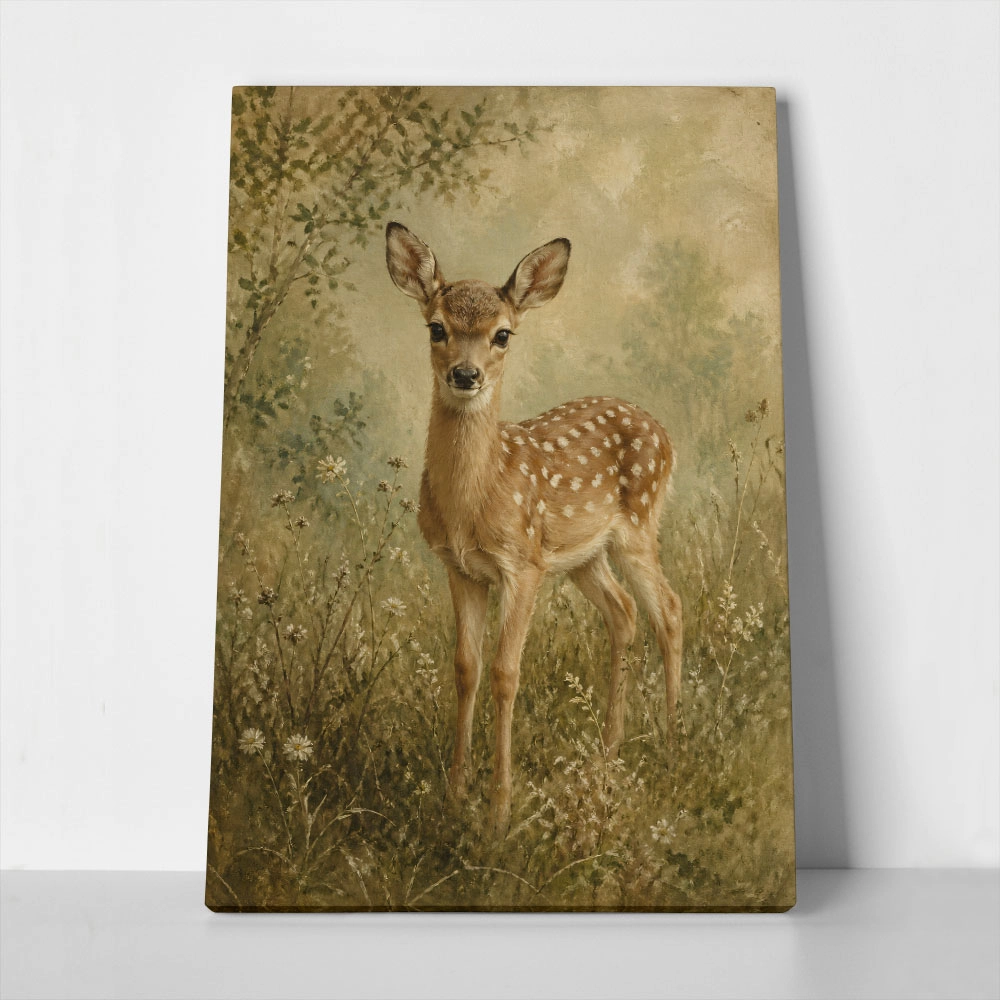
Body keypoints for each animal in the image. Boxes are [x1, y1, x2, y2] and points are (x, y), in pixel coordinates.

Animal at [385, 222, 683, 834]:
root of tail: (664, 433)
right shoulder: (461, 568)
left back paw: (670, 745)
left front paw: (499, 810)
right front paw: (453, 796)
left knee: (668, 610)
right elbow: (466, 668)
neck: (475, 500)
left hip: (638, 527)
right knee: (624, 612)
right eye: (436, 327)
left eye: (503, 335)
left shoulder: (521, 565)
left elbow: (506, 672)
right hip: (582, 556)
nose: (465, 374)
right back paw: (609, 752)